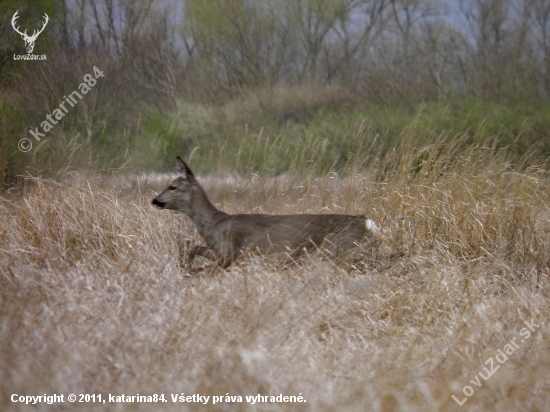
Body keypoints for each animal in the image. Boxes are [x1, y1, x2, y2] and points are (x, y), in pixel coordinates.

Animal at [153, 156, 382, 272]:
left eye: (172, 186)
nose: (154, 200)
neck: (213, 224)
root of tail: (366, 221)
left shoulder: (232, 250)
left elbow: (201, 258)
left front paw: (188, 269)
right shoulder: (223, 251)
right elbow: (195, 249)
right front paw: (187, 268)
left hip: (339, 249)